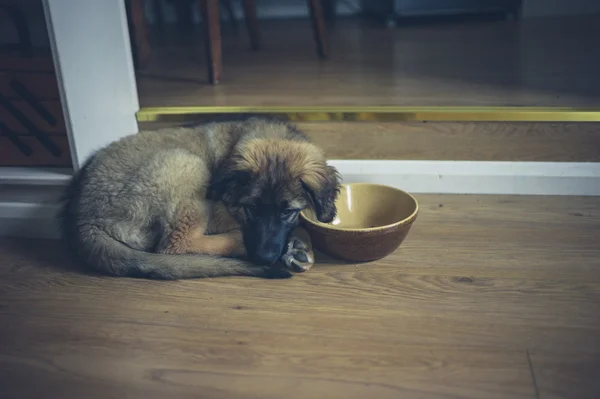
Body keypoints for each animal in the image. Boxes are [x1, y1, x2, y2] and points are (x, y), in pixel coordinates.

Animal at [61, 117, 342, 280]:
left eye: (287, 211)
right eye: (250, 207)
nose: (264, 258)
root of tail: (81, 219)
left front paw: (300, 247)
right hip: (188, 166)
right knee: (176, 244)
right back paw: (238, 243)